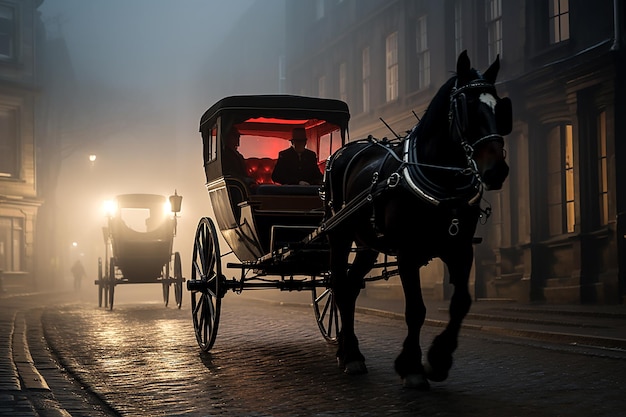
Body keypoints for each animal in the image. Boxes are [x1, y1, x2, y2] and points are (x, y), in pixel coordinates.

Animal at [324, 52, 510, 390]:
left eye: (499, 108)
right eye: (466, 107)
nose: (496, 170)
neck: (441, 180)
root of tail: (343, 152)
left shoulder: (460, 249)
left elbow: (461, 302)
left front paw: (438, 360)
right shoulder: (408, 253)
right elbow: (415, 310)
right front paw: (411, 366)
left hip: (367, 244)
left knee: (350, 287)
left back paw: (348, 351)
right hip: (339, 237)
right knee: (339, 285)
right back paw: (350, 354)